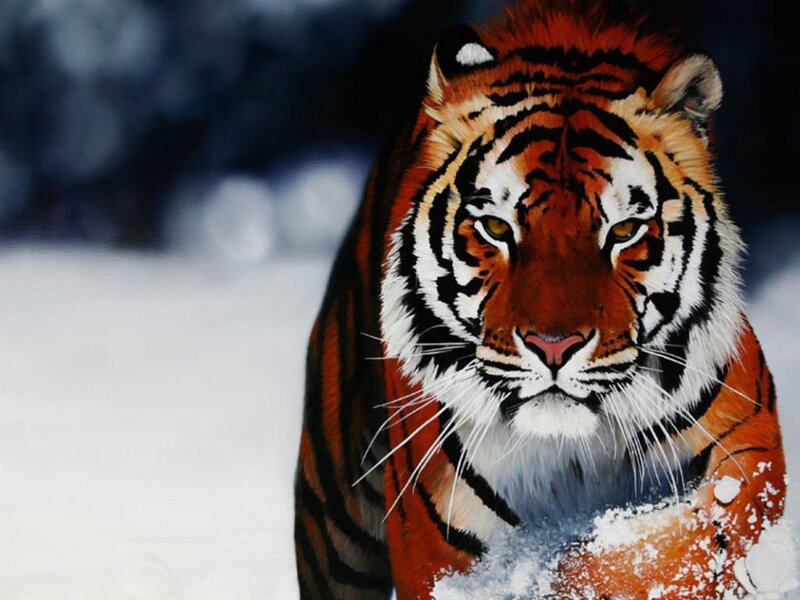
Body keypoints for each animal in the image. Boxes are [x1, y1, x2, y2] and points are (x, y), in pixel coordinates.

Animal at [293, 0, 787, 598]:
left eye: (624, 231)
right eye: (495, 227)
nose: (553, 348)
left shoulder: (751, 453)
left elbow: (669, 545)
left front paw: (555, 571)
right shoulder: (435, 543)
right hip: (332, 521)